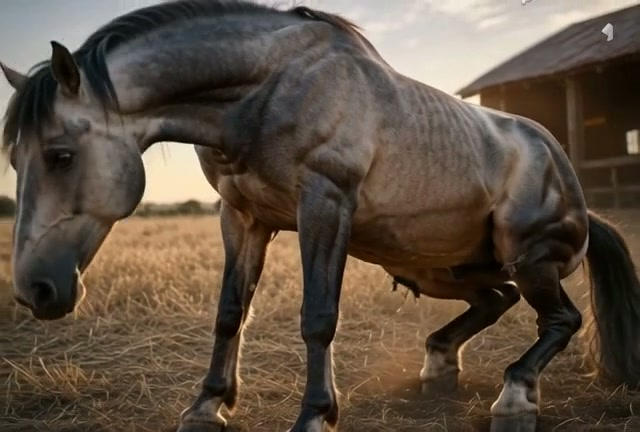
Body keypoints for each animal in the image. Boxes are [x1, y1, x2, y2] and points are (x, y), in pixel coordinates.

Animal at [2, 1, 640, 431]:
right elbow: (230, 313)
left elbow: (318, 317)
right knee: (497, 300)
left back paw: (515, 395)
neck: (267, 88)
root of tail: (565, 173)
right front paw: (207, 405)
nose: (36, 290)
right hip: (436, 269)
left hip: (528, 255)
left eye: (60, 155)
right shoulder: (242, 216)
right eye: (14, 158)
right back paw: (438, 362)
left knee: (560, 319)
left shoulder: (324, 205)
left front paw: (315, 413)